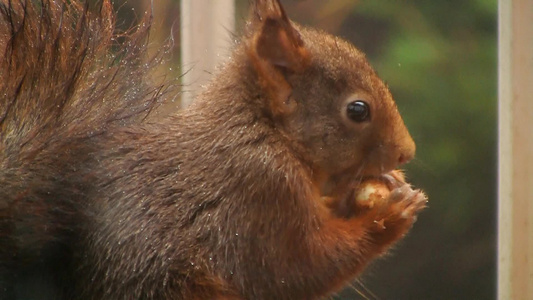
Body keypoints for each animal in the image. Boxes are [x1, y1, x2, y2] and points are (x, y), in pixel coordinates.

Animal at [0, 0, 424, 300]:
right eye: (358, 110)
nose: (407, 152)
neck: (263, 130)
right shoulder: (260, 193)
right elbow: (300, 268)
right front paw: (388, 215)